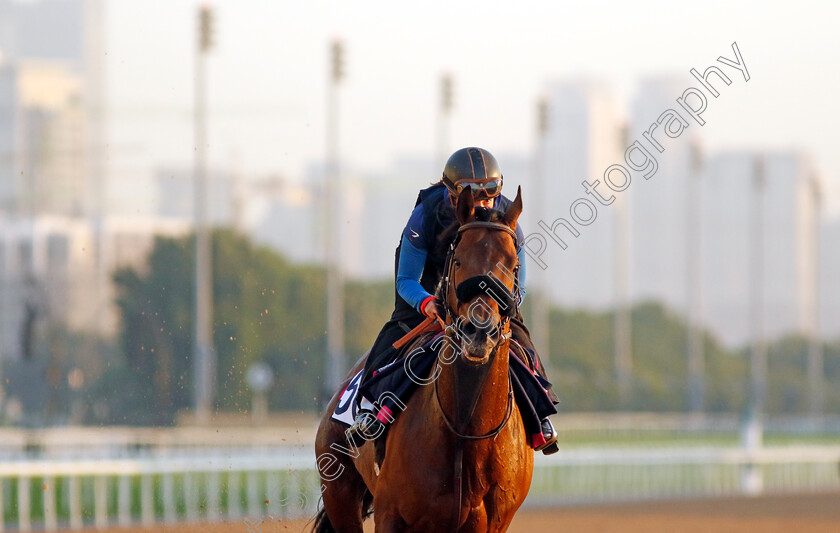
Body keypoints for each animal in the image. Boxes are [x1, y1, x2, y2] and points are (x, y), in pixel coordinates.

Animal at [316, 186, 532, 528]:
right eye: (458, 261)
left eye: (513, 266)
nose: (479, 331)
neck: (465, 431)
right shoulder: (390, 514)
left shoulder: (493, 521)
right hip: (338, 489)